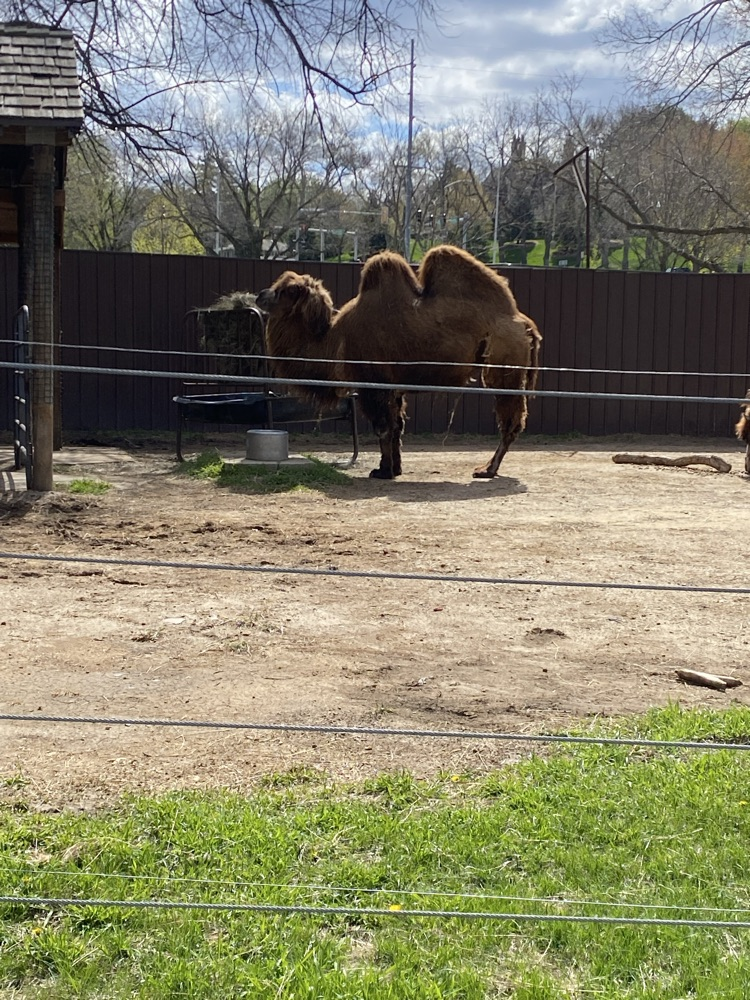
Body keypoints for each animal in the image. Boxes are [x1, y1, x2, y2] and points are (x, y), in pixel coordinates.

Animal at [256, 245, 542, 479]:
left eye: (286, 290)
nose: (260, 295)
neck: (334, 340)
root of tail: (524, 323)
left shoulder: (373, 383)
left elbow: (383, 427)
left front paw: (383, 471)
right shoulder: (393, 386)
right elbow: (397, 427)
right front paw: (395, 468)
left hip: (504, 365)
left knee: (511, 419)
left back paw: (487, 469)